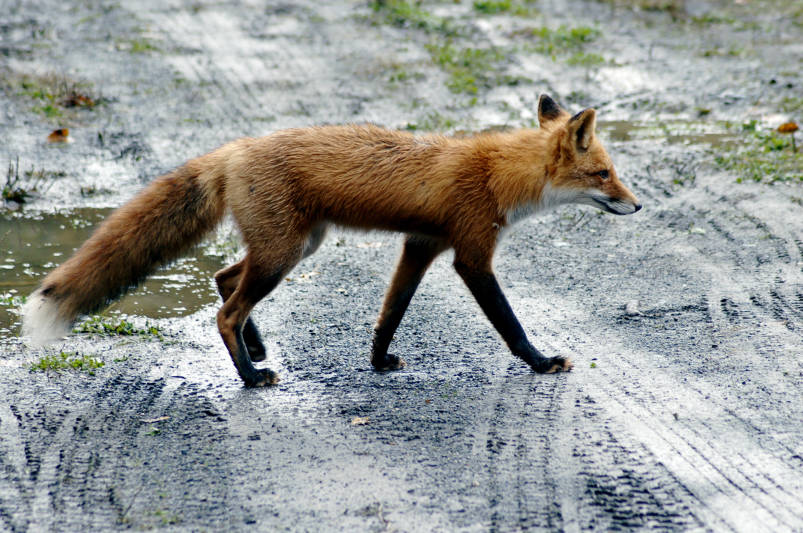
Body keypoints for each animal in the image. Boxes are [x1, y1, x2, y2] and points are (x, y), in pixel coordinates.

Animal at [22, 94, 641, 387]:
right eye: (604, 175)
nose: (638, 206)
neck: (497, 174)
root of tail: (235, 149)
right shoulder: (471, 254)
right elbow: (510, 325)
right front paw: (540, 363)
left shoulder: (420, 245)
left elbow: (391, 312)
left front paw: (378, 360)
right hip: (284, 253)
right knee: (226, 309)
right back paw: (251, 376)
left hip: (295, 246)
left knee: (223, 279)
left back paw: (256, 349)